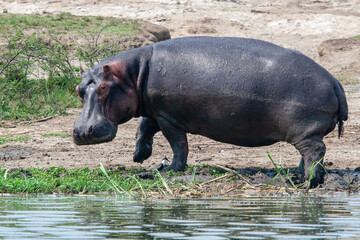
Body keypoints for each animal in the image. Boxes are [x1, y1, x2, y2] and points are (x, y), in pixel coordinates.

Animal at [74, 37, 348, 188]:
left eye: (103, 88)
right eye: (78, 90)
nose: (82, 131)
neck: (133, 73)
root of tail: (334, 81)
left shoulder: (168, 117)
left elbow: (178, 144)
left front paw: (171, 169)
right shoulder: (156, 109)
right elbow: (144, 126)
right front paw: (139, 157)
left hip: (305, 132)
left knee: (315, 151)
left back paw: (309, 181)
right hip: (307, 132)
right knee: (308, 154)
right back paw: (298, 176)